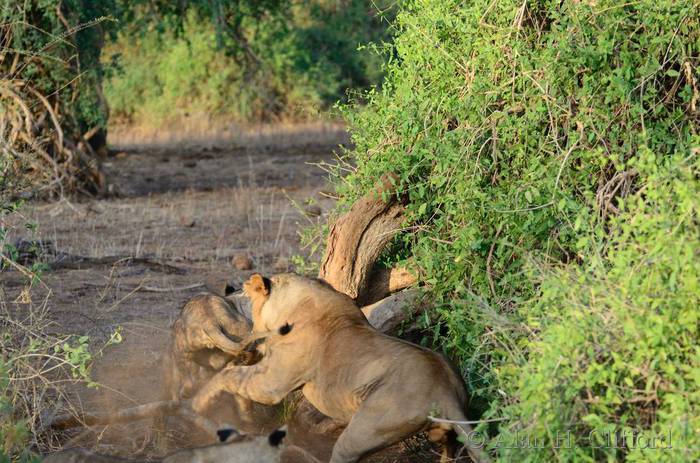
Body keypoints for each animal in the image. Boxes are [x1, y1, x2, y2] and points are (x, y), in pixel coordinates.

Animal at [192, 273, 490, 463]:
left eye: (240, 295)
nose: (226, 290)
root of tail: (446, 390)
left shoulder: (271, 383)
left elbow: (229, 376)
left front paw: (196, 403)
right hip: (440, 432)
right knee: (448, 449)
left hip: (362, 432)